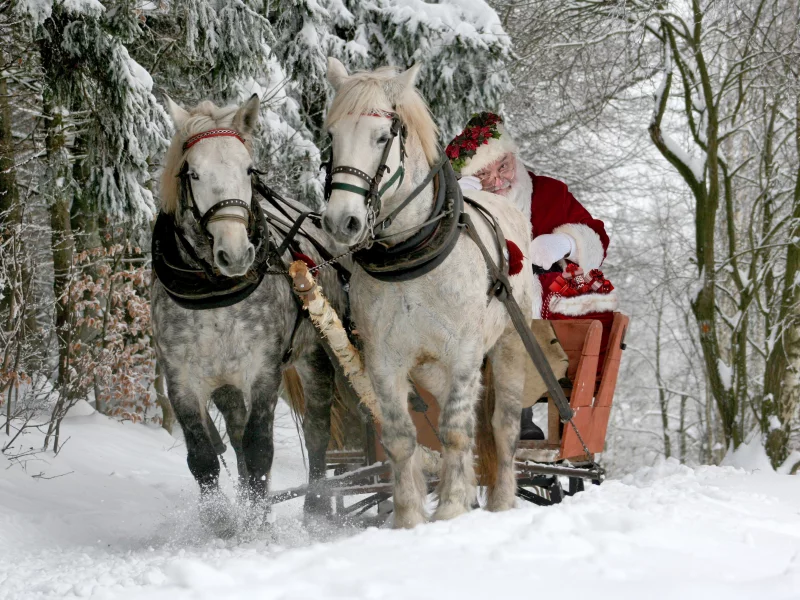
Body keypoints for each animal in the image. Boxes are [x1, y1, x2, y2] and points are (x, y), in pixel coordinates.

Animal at [152, 97, 346, 536]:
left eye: (248, 170)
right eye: (193, 172)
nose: (237, 253)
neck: (213, 292)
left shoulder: (263, 370)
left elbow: (260, 449)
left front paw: (257, 524)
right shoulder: (182, 379)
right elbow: (203, 456)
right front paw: (221, 520)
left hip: (316, 355)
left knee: (317, 428)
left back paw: (316, 507)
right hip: (225, 382)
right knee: (236, 433)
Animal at [322, 58, 536, 528]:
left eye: (382, 136)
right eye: (331, 136)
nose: (341, 222)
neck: (411, 255)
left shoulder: (465, 353)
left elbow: (455, 431)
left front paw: (452, 508)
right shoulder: (384, 361)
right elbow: (402, 438)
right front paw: (408, 517)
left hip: (510, 344)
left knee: (502, 425)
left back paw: (501, 501)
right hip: (431, 370)